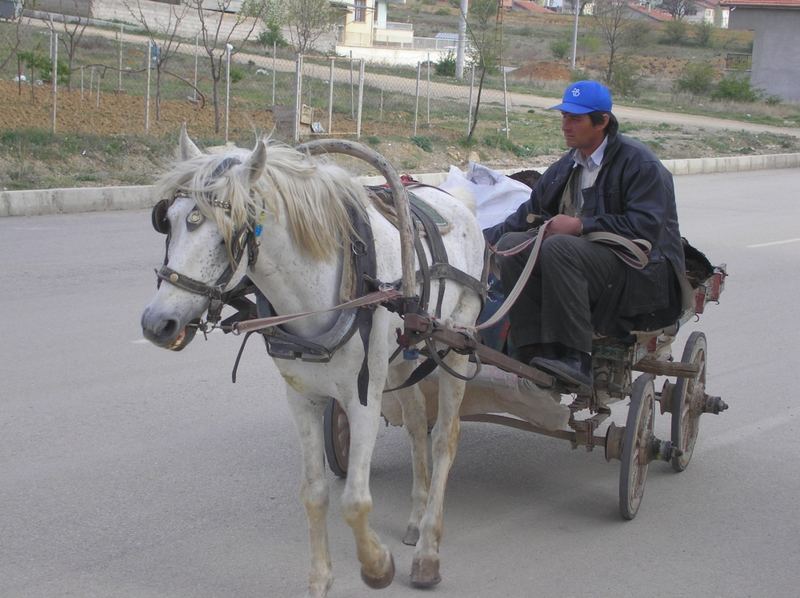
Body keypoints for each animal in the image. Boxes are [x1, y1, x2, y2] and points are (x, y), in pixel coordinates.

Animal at [141, 131, 484, 598]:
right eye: (170, 221)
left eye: (227, 234)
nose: (157, 322)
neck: (320, 295)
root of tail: (460, 202)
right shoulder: (302, 399)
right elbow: (315, 493)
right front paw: (321, 579)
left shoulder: (362, 399)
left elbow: (355, 500)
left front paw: (376, 566)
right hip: (401, 356)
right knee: (416, 425)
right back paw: (415, 520)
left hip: (455, 344)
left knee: (444, 439)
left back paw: (428, 551)